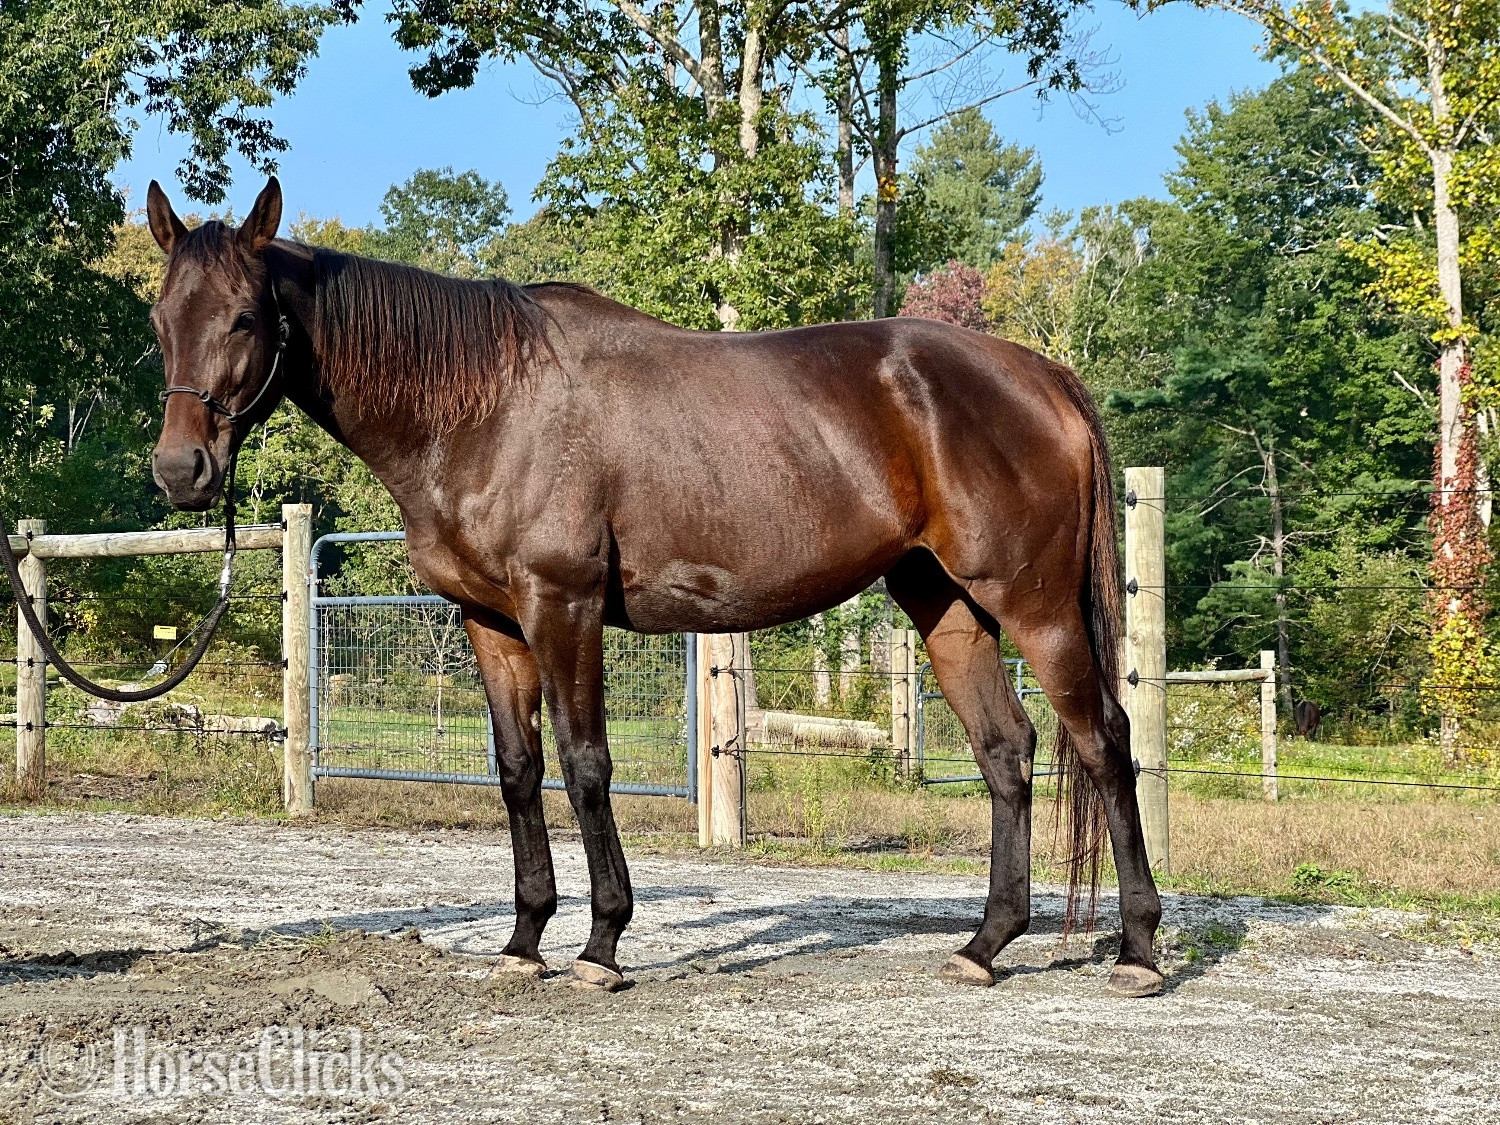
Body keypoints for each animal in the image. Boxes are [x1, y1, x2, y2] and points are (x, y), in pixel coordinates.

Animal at [144, 176, 1164, 997]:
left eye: (243, 318)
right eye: (161, 320)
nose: (182, 471)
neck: (485, 405)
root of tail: (1040, 373)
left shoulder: (563, 607)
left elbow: (587, 763)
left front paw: (601, 944)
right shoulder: (488, 622)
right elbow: (518, 770)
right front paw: (523, 940)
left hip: (1034, 606)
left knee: (1103, 740)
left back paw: (1138, 951)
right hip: (946, 606)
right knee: (1007, 751)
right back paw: (986, 944)